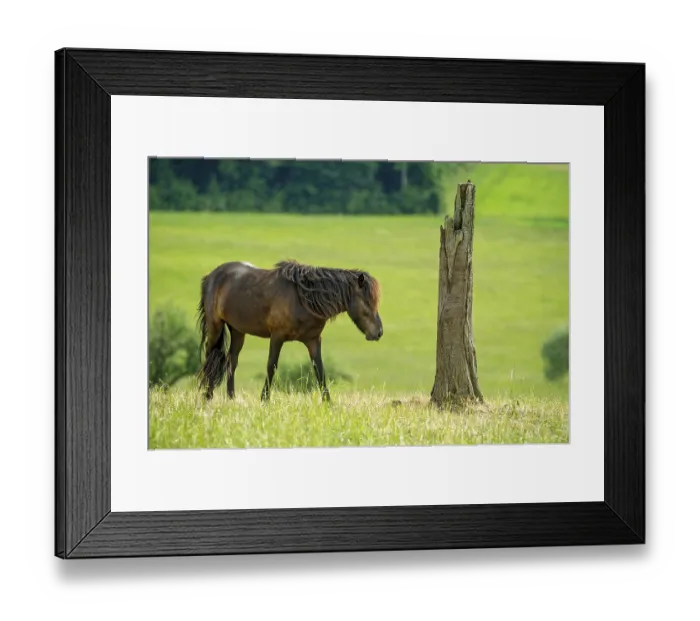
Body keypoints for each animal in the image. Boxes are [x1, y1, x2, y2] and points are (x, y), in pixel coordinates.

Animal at [195, 259, 383, 402]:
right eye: (367, 302)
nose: (379, 332)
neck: (304, 300)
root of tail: (211, 277)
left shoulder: (313, 340)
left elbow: (320, 370)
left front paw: (328, 403)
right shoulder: (277, 337)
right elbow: (271, 366)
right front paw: (264, 399)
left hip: (237, 330)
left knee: (231, 361)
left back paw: (231, 399)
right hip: (215, 326)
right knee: (210, 357)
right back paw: (207, 397)